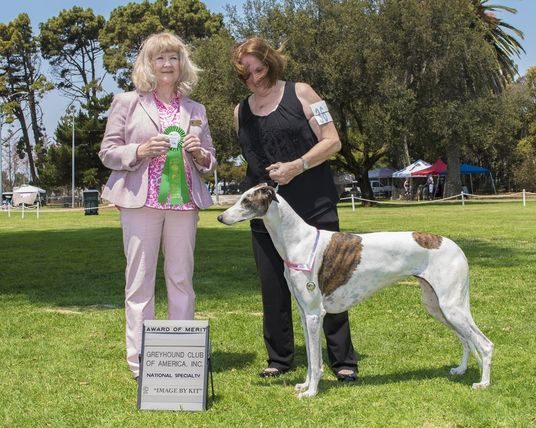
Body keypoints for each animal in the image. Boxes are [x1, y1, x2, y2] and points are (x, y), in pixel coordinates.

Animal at [216, 184, 492, 398]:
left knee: (485, 344)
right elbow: (311, 359)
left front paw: (311, 392)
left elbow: (315, 361)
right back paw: (461, 370)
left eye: (246, 200)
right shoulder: (305, 315)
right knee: (466, 339)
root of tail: (455, 246)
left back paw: (483, 383)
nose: (220, 218)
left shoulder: (315, 314)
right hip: (437, 306)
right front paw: (304, 385)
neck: (299, 241)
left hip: (451, 306)